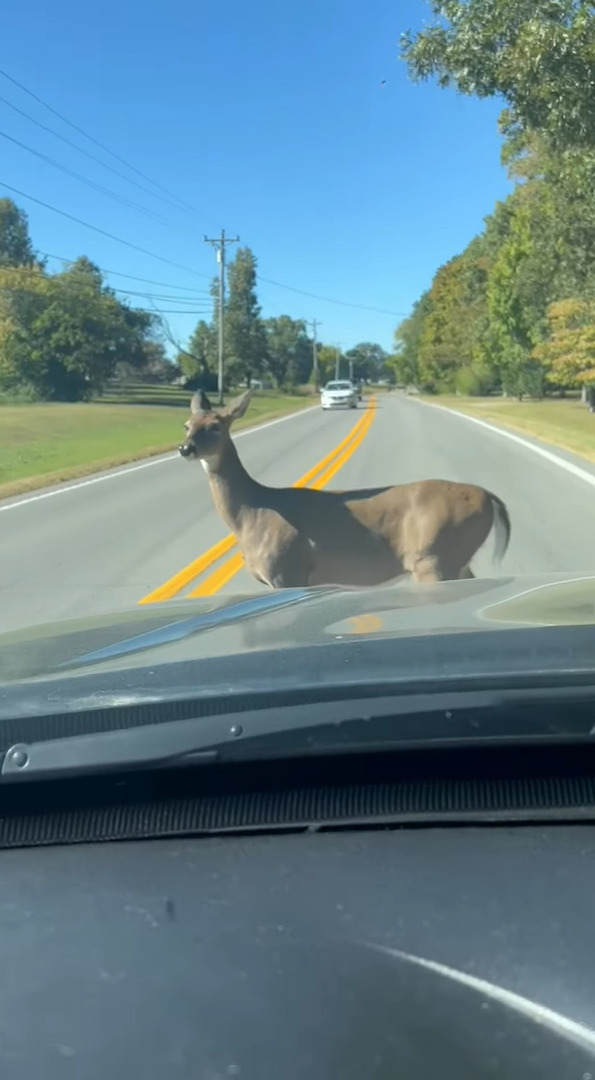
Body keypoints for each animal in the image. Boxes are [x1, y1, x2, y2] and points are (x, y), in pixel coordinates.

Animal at [178, 390, 511, 591]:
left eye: (216, 425)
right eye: (187, 424)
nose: (185, 448)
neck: (253, 511)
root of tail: (489, 496)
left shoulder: (287, 571)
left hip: (434, 555)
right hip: (451, 558)